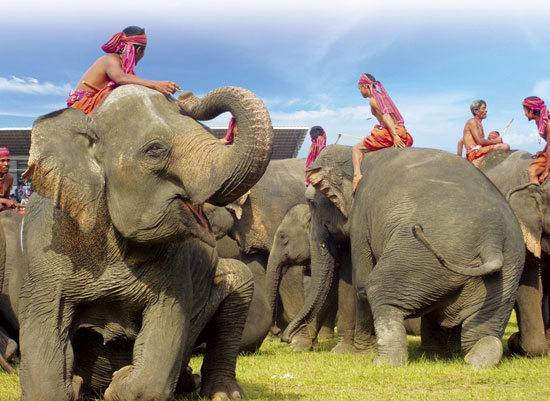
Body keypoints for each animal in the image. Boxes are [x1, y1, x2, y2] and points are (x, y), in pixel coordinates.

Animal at [17, 85, 274, 400]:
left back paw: (216, 391)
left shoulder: (176, 262)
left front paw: (120, 382)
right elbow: (43, 327)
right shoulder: (46, 247)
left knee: (240, 281)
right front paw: (77, 385)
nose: (185, 94)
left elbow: (166, 329)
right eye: (155, 149)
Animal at [284, 145, 528, 368]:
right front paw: (434, 355)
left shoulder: (362, 217)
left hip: (416, 257)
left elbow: (360, 284)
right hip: (506, 272)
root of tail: (490, 240)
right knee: (481, 328)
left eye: (312, 203)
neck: (359, 156)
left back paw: (385, 362)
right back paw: (475, 358)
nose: (287, 339)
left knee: (378, 287)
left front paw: (359, 355)